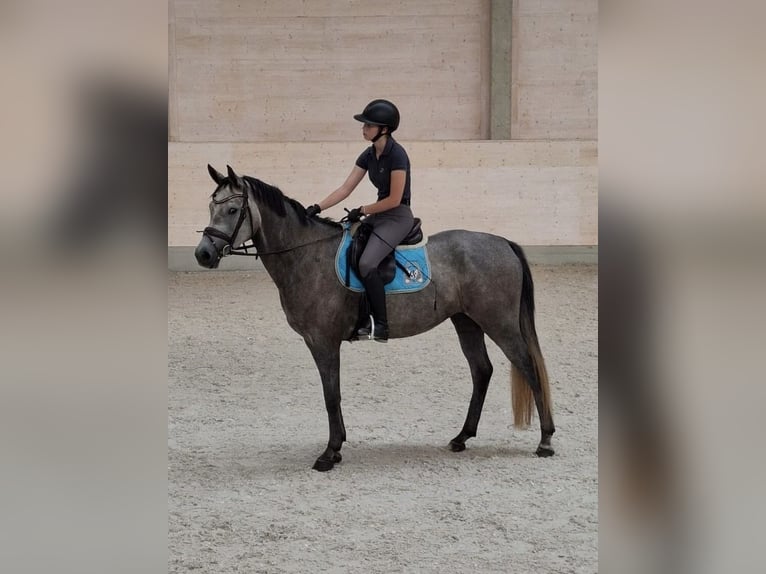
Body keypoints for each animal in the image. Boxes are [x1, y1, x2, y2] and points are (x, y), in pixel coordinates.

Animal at [195, 165, 555, 471]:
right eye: (211, 207)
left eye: (232, 210)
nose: (203, 254)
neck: (306, 253)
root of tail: (504, 243)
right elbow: (332, 394)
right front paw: (337, 447)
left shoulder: (323, 341)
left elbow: (331, 395)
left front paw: (330, 453)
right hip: (466, 321)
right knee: (482, 371)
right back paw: (462, 437)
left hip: (499, 324)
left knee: (528, 367)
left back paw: (546, 441)